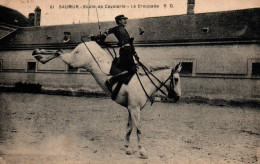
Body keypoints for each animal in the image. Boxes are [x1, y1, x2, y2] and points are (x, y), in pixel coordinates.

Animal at [32, 41, 182, 159]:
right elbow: (138, 129)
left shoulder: (130, 109)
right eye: (176, 79)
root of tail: (88, 43)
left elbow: (129, 128)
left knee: (60, 51)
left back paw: (39, 54)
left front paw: (128, 148)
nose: (177, 97)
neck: (143, 83)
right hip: (75, 61)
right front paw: (142, 151)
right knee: (59, 52)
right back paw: (39, 54)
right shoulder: (135, 109)